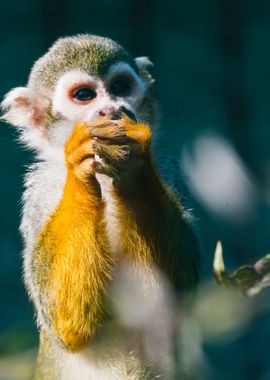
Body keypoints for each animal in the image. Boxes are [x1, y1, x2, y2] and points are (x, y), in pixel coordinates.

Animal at [1, 35, 200, 380]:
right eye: (84, 95)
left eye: (119, 86)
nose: (111, 108)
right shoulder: (38, 193)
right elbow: (65, 320)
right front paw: (79, 164)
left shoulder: (168, 168)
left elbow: (175, 294)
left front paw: (134, 167)